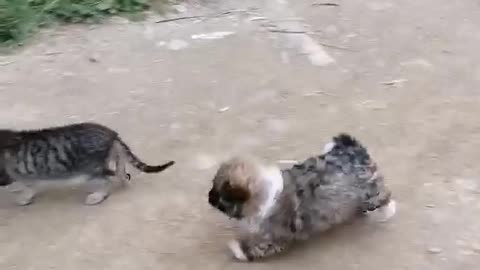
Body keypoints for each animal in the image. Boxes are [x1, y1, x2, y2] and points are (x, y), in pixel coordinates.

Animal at [0, 123, 176, 206]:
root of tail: (111, 134)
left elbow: (28, 185)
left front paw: (23, 196)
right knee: (120, 172)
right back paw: (123, 182)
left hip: (89, 169)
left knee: (107, 179)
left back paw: (97, 196)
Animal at [208, 134, 396, 262]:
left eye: (219, 194)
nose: (209, 198)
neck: (265, 193)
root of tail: (352, 149)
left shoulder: (272, 236)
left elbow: (255, 247)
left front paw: (238, 249)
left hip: (370, 191)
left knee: (383, 197)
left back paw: (387, 210)